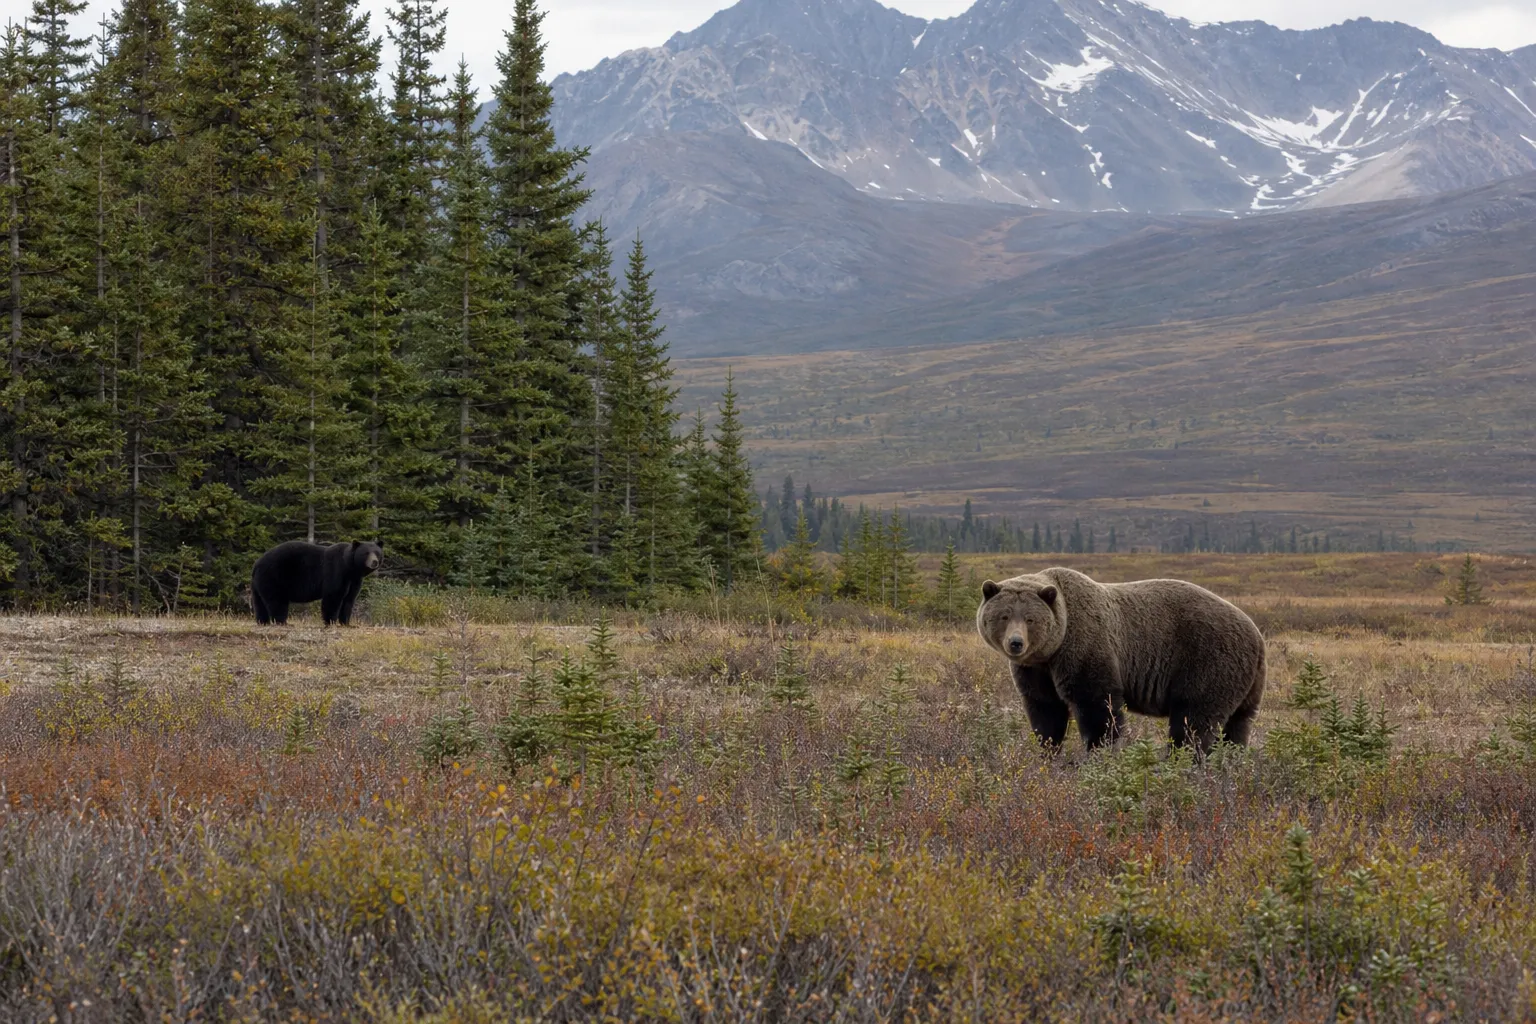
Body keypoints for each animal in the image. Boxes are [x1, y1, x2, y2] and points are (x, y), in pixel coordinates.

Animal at [251, 539, 384, 627]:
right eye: (366, 553)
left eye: (377, 553)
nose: (374, 562)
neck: (350, 567)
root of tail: (257, 563)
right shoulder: (336, 571)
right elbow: (333, 596)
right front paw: (330, 622)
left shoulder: (354, 580)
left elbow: (349, 600)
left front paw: (347, 623)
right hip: (274, 577)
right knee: (277, 601)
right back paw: (282, 622)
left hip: (258, 583)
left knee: (260, 602)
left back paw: (263, 621)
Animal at [976, 567, 1265, 753]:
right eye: (1004, 616)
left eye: (1030, 619)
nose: (1016, 643)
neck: (1051, 652)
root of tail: (1258, 636)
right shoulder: (1036, 670)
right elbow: (1046, 710)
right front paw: (1049, 749)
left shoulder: (1085, 648)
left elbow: (1097, 708)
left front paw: (1098, 751)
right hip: (1244, 684)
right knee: (1237, 726)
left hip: (1208, 662)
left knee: (1192, 722)